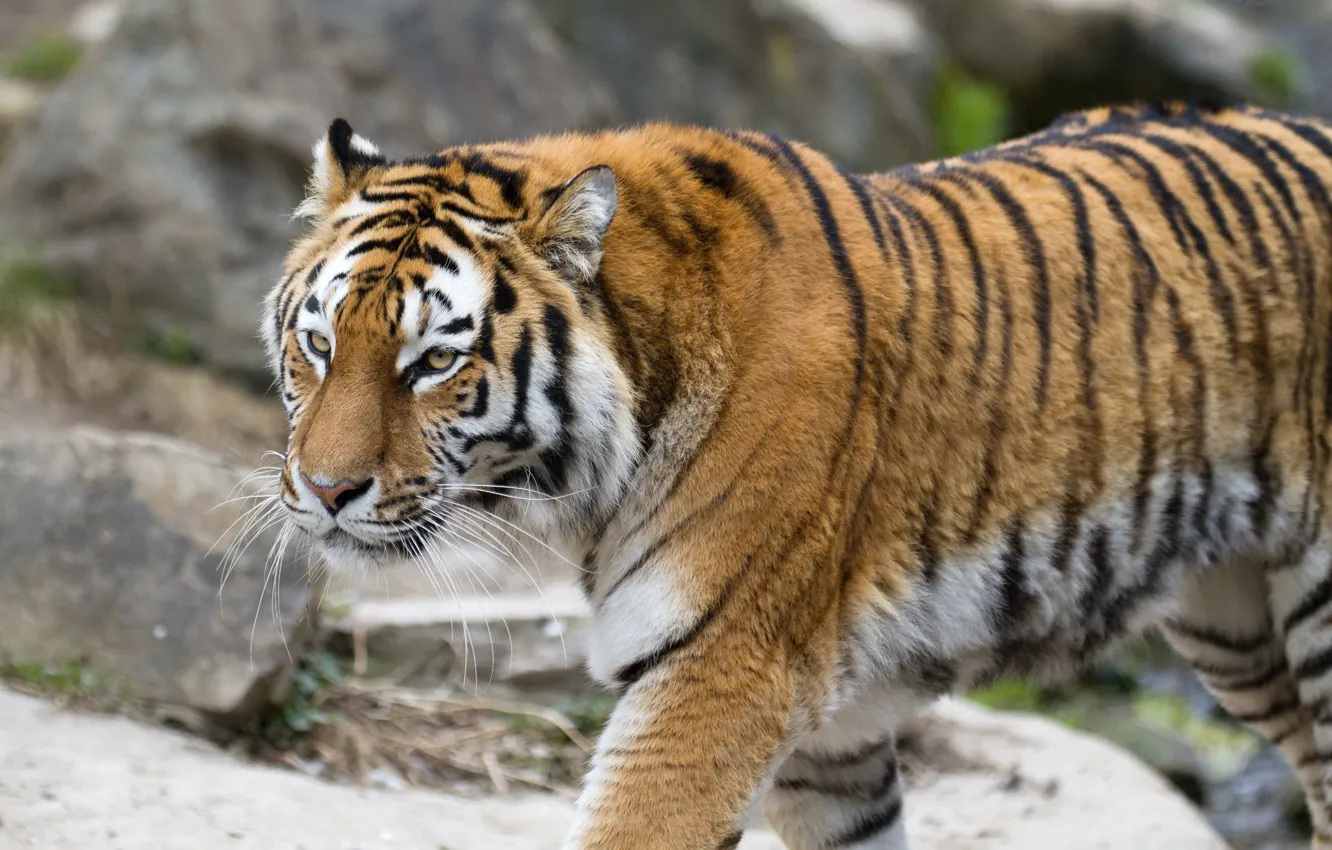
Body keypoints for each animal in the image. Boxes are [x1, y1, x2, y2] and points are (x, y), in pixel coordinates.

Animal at [261, 100, 1332, 849]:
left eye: (434, 362)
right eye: (318, 345)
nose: (325, 492)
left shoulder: (722, 672)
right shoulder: (830, 734)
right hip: (1235, 629)